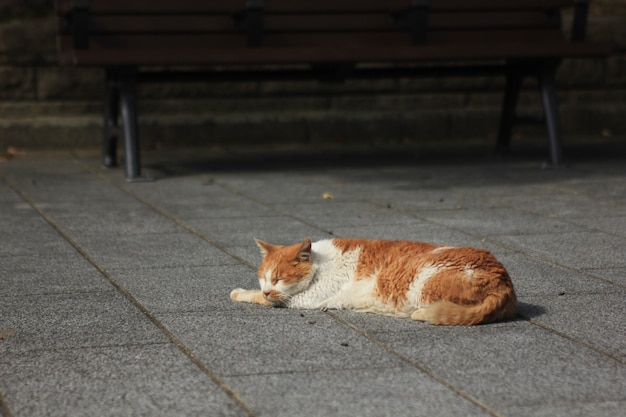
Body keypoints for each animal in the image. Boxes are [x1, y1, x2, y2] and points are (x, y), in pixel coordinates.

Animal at [227, 237, 516, 324]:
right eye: (263, 278)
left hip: (423, 282)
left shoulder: (306, 298)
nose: (267, 290)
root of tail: (504, 282)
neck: (321, 264)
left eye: (278, 279)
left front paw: (240, 293)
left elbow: (260, 298)